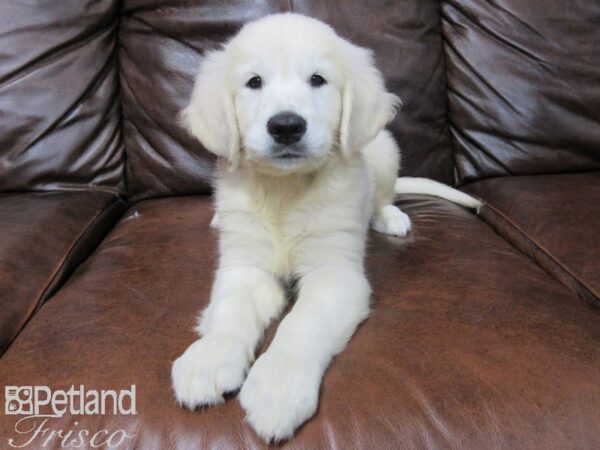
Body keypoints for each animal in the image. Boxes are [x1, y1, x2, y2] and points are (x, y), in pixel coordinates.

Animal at [171, 12, 480, 442]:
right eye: (254, 82)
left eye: (317, 79)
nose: (286, 126)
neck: (285, 191)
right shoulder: (246, 266)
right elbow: (230, 310)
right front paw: (210, 359)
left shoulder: (335, 272)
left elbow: (303, 322)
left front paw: (278, 386)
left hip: (384, 149)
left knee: (383, 193)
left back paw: (389, 217)